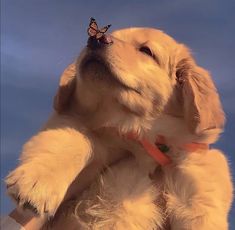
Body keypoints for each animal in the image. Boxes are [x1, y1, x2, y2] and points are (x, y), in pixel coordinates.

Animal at [5, 27, 233, 229]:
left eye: (146, 51)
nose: (95, 39)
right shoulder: (74, 123)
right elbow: (73, 141)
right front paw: (37, 185)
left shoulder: (196, 179)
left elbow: (201, 207)